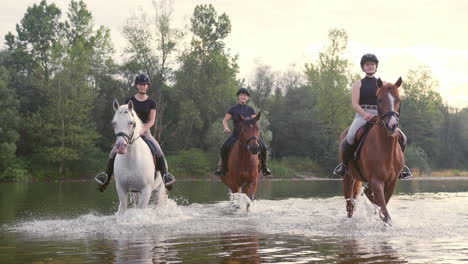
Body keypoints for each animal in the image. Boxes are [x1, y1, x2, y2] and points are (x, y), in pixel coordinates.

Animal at [340, 77, 406, 224]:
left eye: (398, 99)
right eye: (379, 99)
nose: (392, 125)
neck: (385, 149)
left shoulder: (392, 182)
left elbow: (383, 207)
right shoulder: (376, 180)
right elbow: (385, 213)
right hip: (349, 177)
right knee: (350, 205)